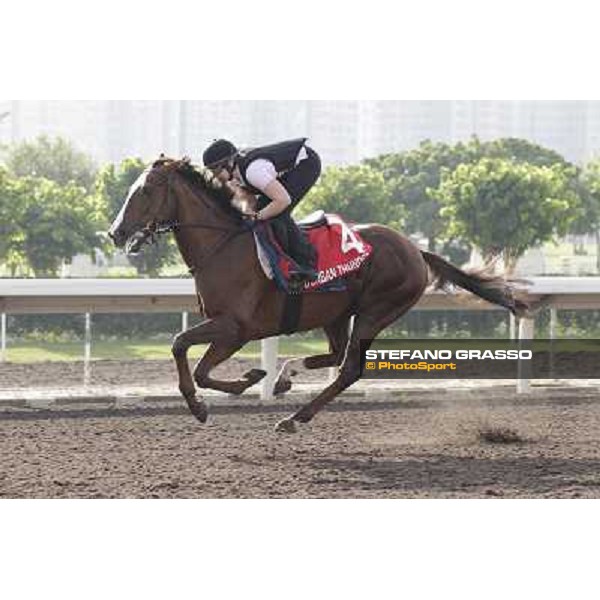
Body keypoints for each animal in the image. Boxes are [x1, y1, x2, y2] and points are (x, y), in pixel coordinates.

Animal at [109, 157, 528, 434]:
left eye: (145, 190)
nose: (116, 233)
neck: (223, 246)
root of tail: (415, 249)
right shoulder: (226, 327)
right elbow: (185, 352)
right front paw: (247, 382)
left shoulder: (235, 328)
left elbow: (188, 354)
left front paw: (217, 396)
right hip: (337, 314)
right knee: (336, 355)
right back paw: (285, 379)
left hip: (376, 310)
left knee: (349, 369)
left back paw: (295, 417)